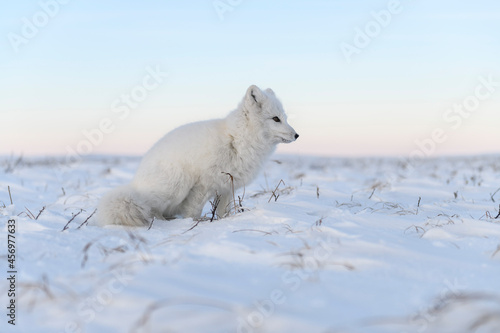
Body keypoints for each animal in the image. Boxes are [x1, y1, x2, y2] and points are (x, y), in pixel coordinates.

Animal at [99, 84, 298, 227]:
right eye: (275, 119)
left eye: (285, 118)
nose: (297, 135)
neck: (236, 140)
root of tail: (135, 183)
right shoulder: (203, 185)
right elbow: (193, 211)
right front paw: (193, 224)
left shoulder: (227, 187)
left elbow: (224, 212)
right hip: (177, 185)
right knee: (151, 208)